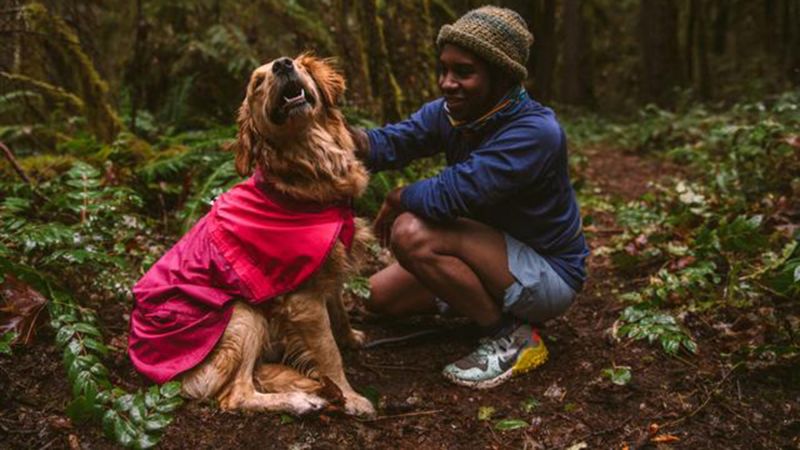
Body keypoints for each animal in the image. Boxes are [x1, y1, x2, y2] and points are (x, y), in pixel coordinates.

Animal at [178, 54, 372, 416]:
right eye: (257, 82)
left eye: (297, 63)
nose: (283, 65)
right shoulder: (303, 299)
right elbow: (329, 354)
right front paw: (351, 398)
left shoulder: (328, 269)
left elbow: (338, 310)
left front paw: (350, 337)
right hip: (243, 312)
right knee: (236, 395)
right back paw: (301, 400)